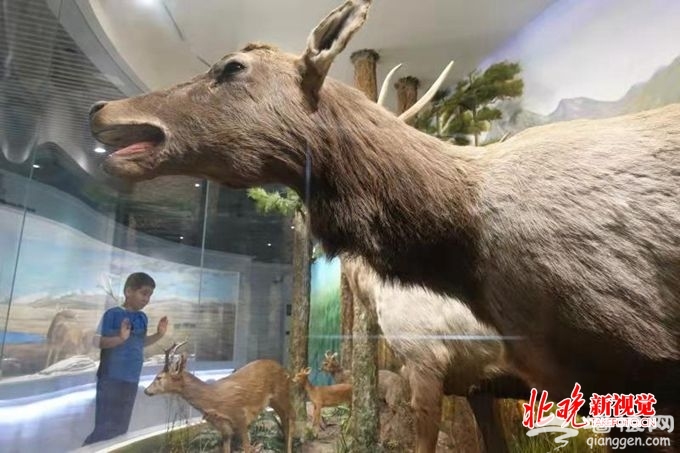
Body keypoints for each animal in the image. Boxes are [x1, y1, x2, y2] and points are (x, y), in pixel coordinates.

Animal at [144, 342, 294, 453]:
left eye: (159, 377)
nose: (146, 391)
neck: (213, 399)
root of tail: (284, 369)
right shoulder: (225, 429)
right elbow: (226, 449)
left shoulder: (241, 417)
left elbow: (247, 448)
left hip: (282, 395)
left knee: (290, 420)